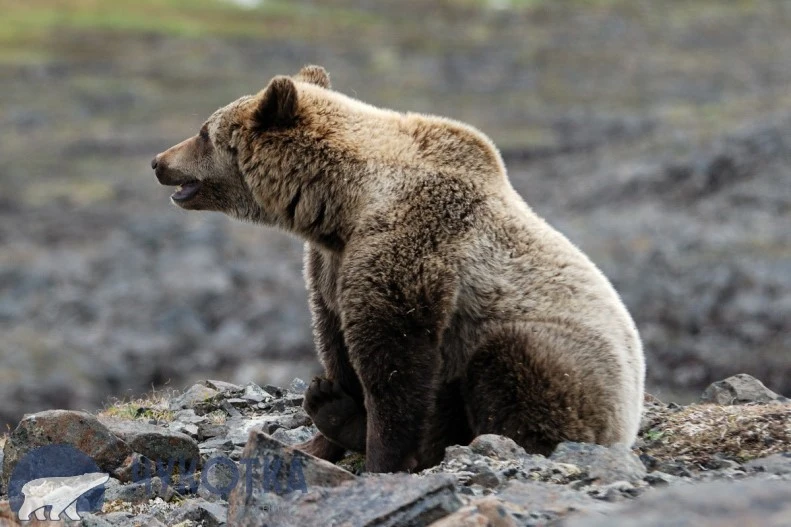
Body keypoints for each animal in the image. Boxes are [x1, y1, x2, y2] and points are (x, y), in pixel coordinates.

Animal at [151, 65, 645, 473]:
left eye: (203, 132)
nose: (158, 162)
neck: (345, 204)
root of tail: (630, 423)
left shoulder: (410, 242)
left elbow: (393, 359)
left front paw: (379, 458)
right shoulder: (331, 263)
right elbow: (336, 339)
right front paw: (318, 433)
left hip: (567, 366)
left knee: (512, 372)